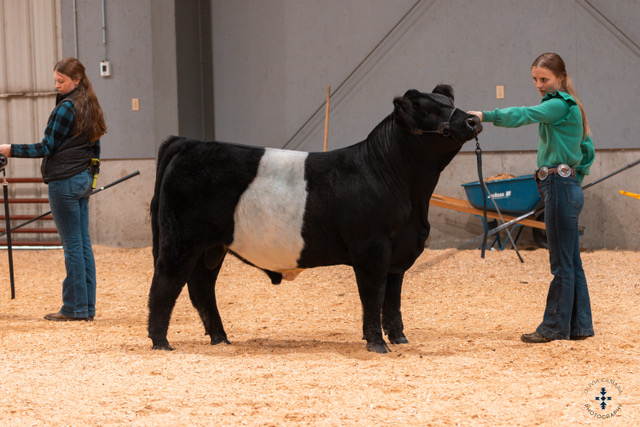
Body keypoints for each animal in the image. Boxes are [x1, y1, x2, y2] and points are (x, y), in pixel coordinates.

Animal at [148, 85, 482, 353]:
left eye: (449, 101)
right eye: (427, 110)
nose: (473, 120)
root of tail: (188, 142)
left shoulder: (398, 254)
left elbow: (393, 299)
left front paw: (399, 338)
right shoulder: (371, 250)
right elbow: (373, 296)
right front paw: (377, 343)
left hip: (211, 248)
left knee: (202, 288)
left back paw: (220, 338)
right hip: (181, 241)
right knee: (165, 283)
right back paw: (161, 342)